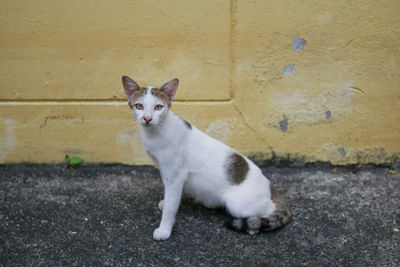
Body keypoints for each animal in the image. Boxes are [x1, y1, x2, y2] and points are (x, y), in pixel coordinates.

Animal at [122, 76, 290, 242]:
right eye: (139, 106)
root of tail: (268, 184)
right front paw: (166, 202)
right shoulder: (166, 171)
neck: (156, 132)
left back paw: (253, 227)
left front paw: (164, 229)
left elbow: (171, 205)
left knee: (270, 209)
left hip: (237, 205)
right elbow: (170, 196)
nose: (147, 118)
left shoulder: (175, 175)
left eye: (158, 107)